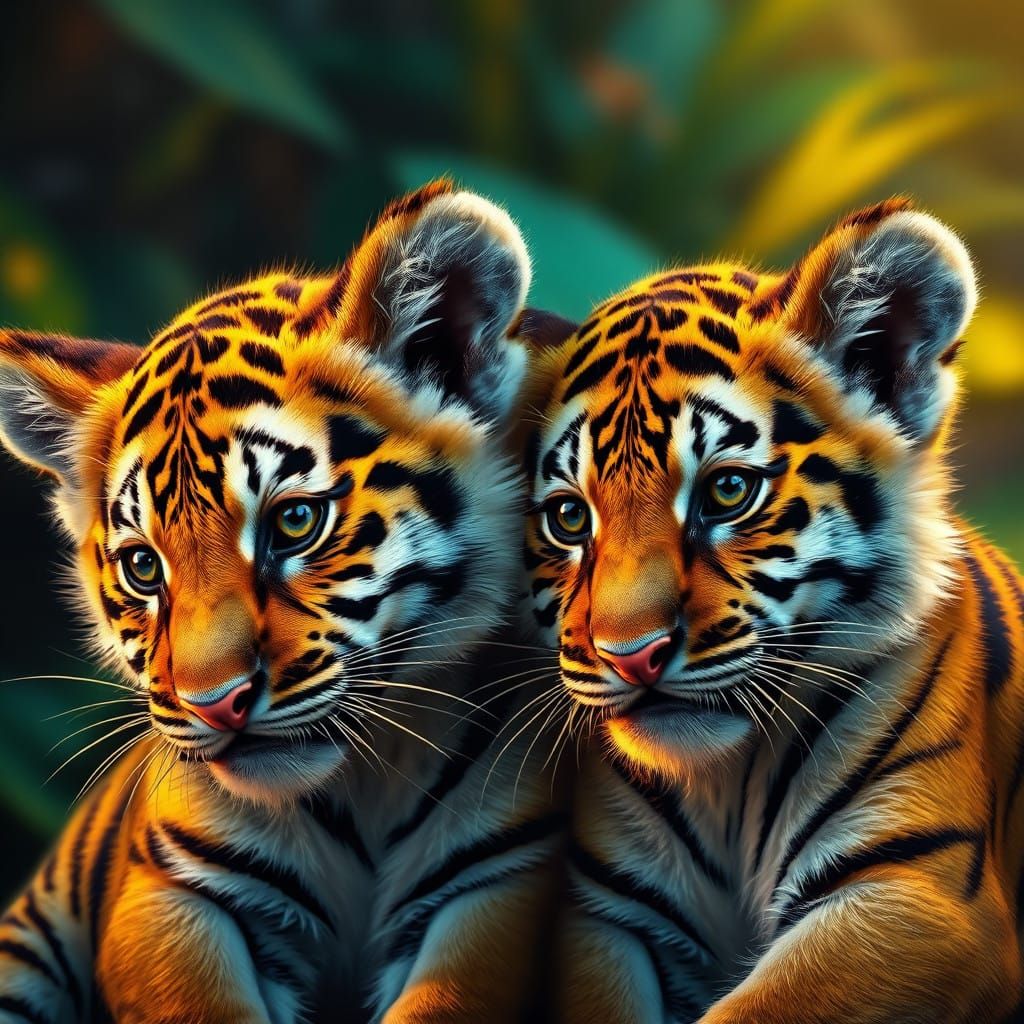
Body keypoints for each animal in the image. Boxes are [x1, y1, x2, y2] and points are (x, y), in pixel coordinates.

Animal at [0, 180, 568, 1024]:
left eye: (294, 521)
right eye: (143, 567)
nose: (212, 705)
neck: (366, 783)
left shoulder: (492, 886)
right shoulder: (175, 894)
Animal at [516, 199, 1024, 1022]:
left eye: (727, 491)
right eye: (568, 518)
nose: (631, 655)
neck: (724, 786)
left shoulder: (918, 893)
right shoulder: (610, 917)